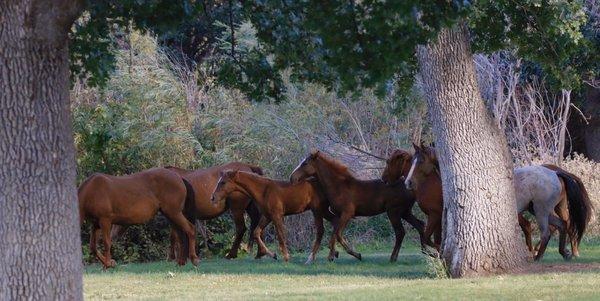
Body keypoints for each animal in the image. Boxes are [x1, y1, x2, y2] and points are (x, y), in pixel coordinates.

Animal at [211, 169, 340, 262]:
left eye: (223, 182)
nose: (213, 197)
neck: (264, 190)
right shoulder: (267, 216)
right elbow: (256, 233)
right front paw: (272, 254)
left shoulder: (277, 216)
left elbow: (281, 236)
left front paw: (286, 257)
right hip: (323, 211)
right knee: (335, 221)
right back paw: (334, 253)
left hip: (318, 210)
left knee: (324, 228)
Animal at [288, 149, 424, 260]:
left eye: (305, 163)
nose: (292, 178)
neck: (339, 186)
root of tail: (410, 187)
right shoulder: (339, 215)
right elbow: (334, 233)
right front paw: (332, 255)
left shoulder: (347, 213)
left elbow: (338, 234)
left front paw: (356, 255)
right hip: (405, 212)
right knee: (420, 225)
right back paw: (426, 251)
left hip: (394, 212)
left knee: (400, 232)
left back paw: (393, 258)